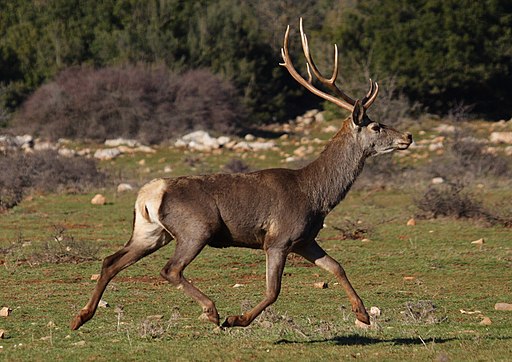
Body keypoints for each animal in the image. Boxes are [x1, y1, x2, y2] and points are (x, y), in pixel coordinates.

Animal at [71, 19, 412, 330]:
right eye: (375, 126)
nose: (407, 136)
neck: (316, 196)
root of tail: (149, 193)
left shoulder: (304, 239)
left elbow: (337, 267)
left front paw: (363, 314)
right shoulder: (278, 238)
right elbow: (274, 290)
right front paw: (239, 318)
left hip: (150, 231)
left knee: (110, 260)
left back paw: (80, 317)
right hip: (196, 228)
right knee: (170, 269)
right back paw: (212, 311)